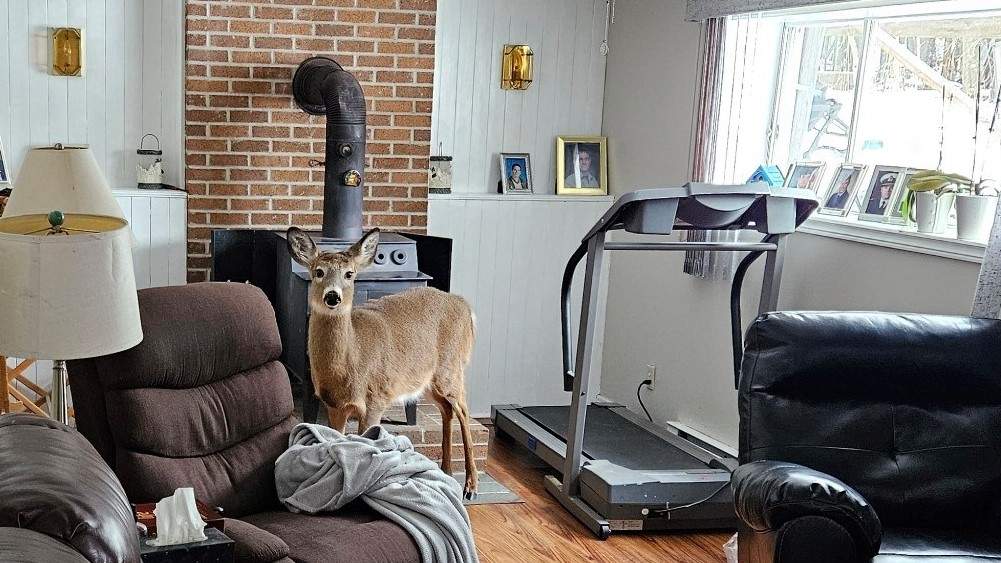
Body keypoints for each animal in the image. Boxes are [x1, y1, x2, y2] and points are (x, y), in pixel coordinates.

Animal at [286, 226, 479, 497]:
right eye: (318, 272)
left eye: (349, 274)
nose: (332, 297)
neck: (352, 360)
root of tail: (464, 305)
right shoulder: (334, 405)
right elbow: (337, 440)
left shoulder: (376, 398)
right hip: (426, 380)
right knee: (447, 410)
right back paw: (447, 472)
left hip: (451, 367)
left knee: (463, 409)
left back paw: (470, 486)